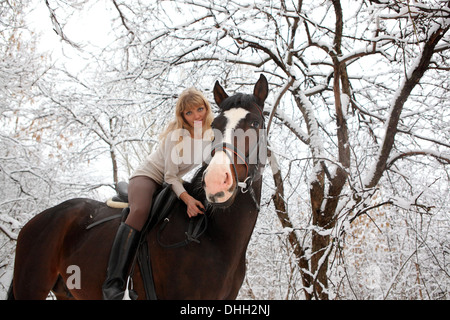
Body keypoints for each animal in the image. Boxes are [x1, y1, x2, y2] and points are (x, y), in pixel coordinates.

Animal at [7, 75, 268, 300]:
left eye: (256, 123)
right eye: (214, 125)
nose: (216, 181)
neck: (212, 236)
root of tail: (38, 219)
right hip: (30, 288)